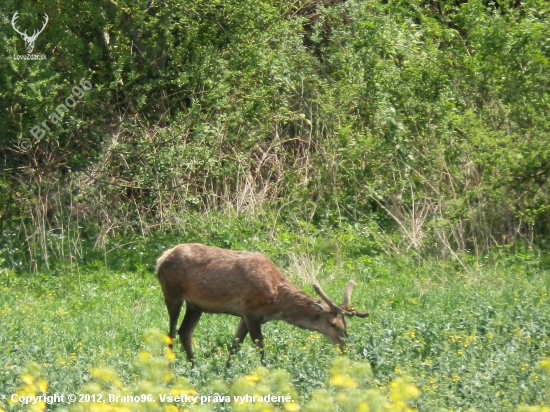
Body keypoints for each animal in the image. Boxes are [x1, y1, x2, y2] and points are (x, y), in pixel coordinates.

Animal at [156, 243, 370, 366]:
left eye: (345, 325)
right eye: (333, 324)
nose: (344, 347)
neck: (276, 304)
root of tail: (161, 258)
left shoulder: (245, 315)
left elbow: (235, 345)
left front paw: (227, 372)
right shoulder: (250, 311)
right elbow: (260, 346)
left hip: (195, 305)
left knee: (185, 331)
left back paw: (194, 366)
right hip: (172, 293)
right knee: (171, 332)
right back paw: (171, 370)